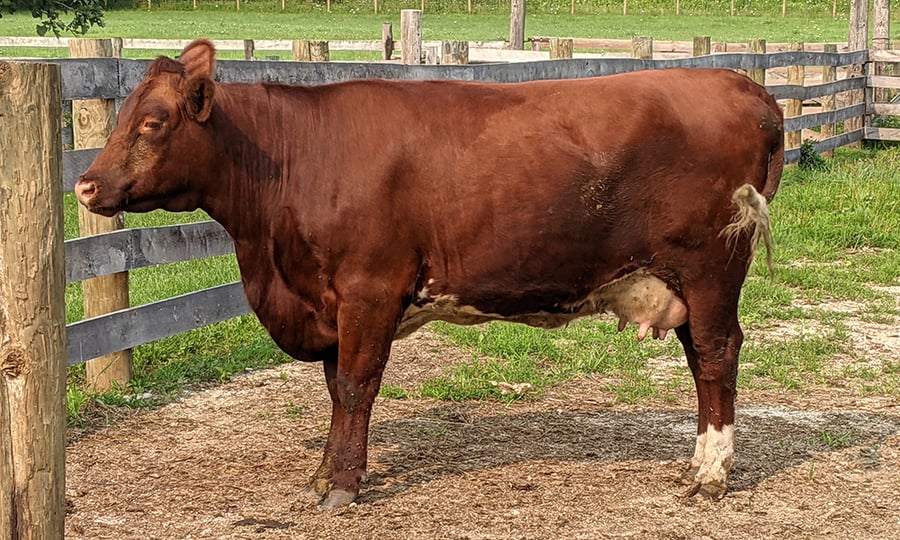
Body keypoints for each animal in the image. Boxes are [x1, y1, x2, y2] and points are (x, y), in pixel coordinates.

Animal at [76, 39, 784, 510]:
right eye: (122, 116)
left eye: (153, 122)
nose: (85, 185)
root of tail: (743, 86)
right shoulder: (330, 304)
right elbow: (336, 391)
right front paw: (326, 473)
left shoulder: (369, 289)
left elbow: (355, 388)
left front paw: (341, 487)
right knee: (702, 359)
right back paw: (696, 465)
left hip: (712, 268)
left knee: (716, 356)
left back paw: (711, 475)